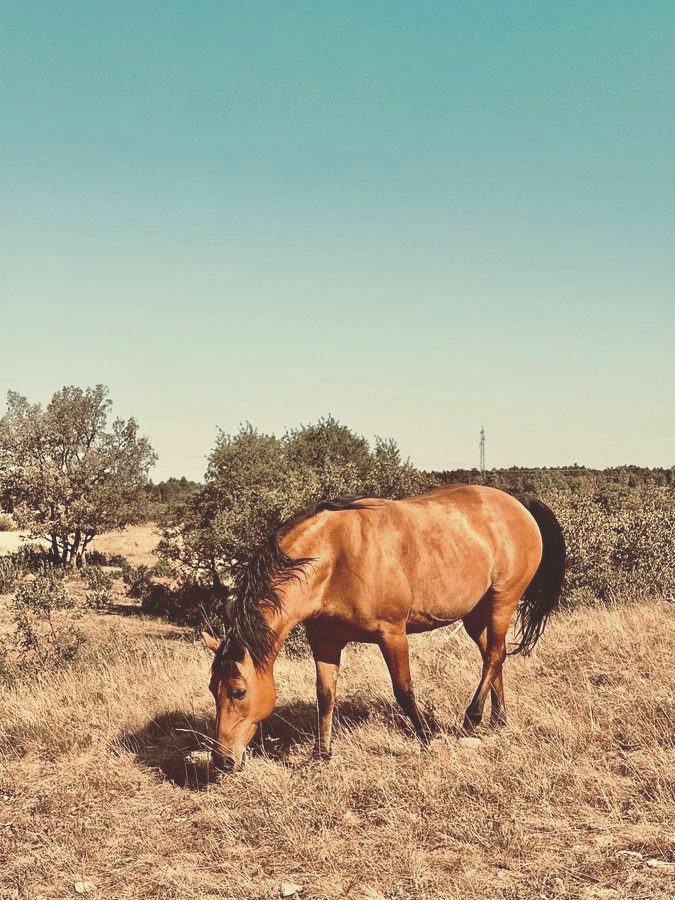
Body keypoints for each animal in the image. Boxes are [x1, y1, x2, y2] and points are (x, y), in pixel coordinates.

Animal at [201, 484, 566, 771]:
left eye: (238, 691)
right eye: (212, 689)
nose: (222, 760)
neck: (335, 557)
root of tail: (516, 502)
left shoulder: (392, 634)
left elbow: (403, 690)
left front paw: (426, 739)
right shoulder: (325, 641)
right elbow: (325, 695)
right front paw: (321, 755)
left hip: (502, 601)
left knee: (493, 655)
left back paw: (471, 719)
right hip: (475, 614)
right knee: (495, 653)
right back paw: (497, 720)